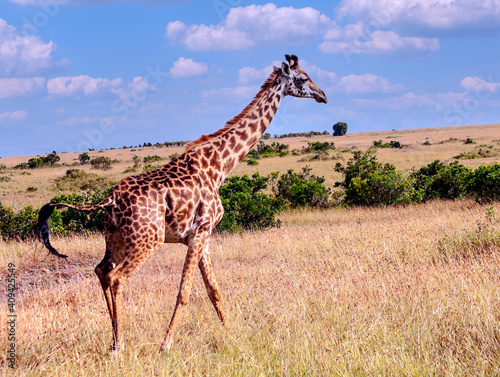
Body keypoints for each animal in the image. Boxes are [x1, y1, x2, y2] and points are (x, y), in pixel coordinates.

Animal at [36, 53, 328, 352]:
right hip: (147, 240)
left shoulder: (201, 234)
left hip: (115, 237)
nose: (323, 95)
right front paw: (165, 345)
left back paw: (114, 342)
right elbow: (184, 291)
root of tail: (111, 199)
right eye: (303, 78)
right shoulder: (201, 232)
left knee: (101, 270)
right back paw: (121, 343)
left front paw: (231, 332)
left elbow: (213, 289)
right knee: (117, 277)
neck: (219, 166)